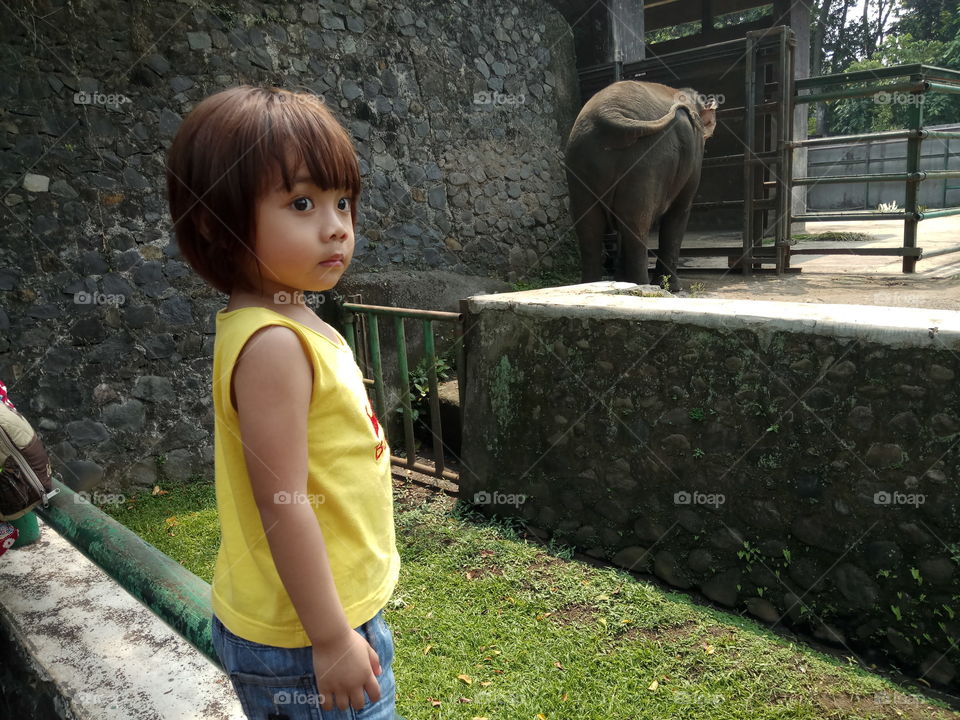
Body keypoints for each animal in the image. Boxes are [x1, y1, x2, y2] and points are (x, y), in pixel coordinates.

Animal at [568, 79, 716, 290]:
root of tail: (608, 113)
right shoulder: (694, 157)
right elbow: (679, 211)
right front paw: (673, 288)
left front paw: (621, 278)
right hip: (646, 163)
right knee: (637, 223)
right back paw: (643, 286)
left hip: (579, 165)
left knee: (589, 226)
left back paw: (594, 284)